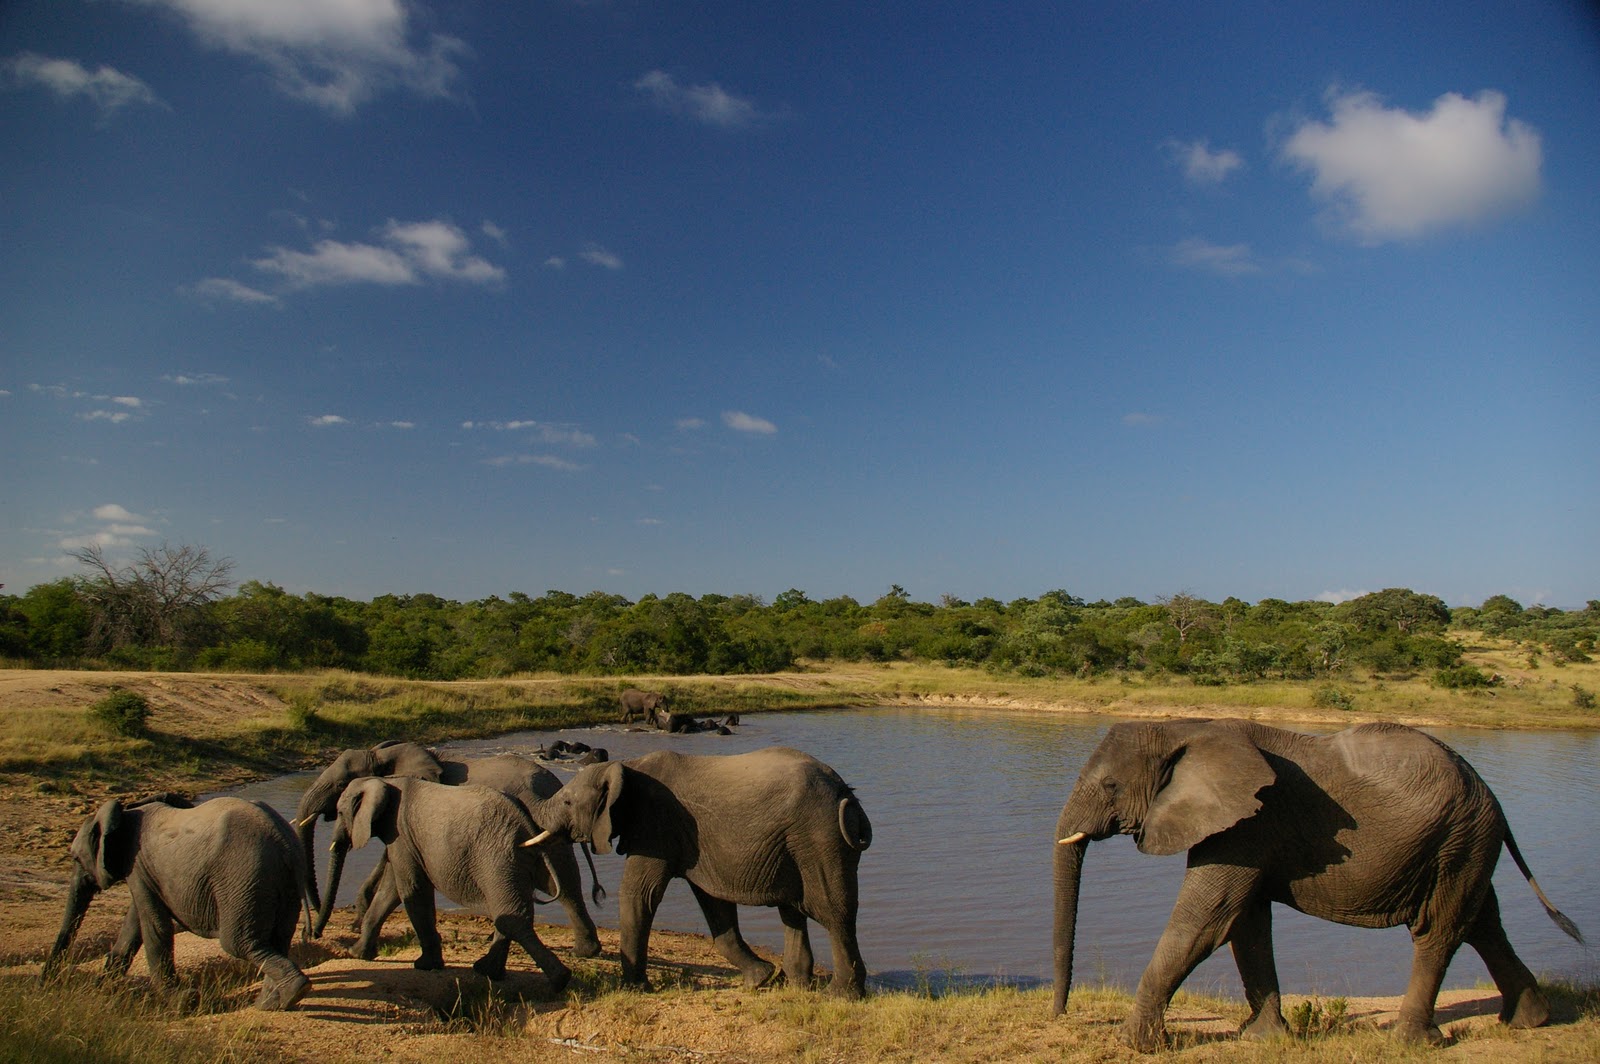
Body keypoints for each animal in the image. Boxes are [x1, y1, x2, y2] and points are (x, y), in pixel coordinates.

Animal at [45, 794, 310, 1011]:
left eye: (75, 858)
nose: (47, 983)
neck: (125, 813)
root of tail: (283, 839)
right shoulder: (145, 872)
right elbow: (135, 924)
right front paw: (104, 985)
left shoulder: (138, 865)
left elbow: (154, 926)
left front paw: (183, 1002)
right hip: (279, 881)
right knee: (278, 938)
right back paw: (272, 1003)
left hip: (243, 877)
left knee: (238, 943)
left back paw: (292, 993)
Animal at [293, 742, 601, 957]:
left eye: (340, 785)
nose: (312, 933)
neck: (384, 754)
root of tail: (556, 784)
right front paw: (357, 925)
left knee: (561, 882)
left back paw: (581, 952)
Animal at [332, 776, 571, 992]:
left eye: (339, 813)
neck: (385, 782)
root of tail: (528, 826)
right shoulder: (401, 840)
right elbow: (392, 891)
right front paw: (357, 954)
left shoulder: (400, 833)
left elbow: (412, 888)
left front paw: (426, 966)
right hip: (513, 862)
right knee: (509, 912)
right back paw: (491, 972)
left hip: (498, 859)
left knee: (512, 919)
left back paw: (559, 980)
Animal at [523, 746, 872, 997]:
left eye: (567, 803)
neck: (625, 766)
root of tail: (847, 793)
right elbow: (714, 904)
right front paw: (759, 980)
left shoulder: (656, 826)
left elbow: (640, 894)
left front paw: (635, 990)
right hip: (794, 843)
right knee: (792, 909)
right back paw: (795, 984)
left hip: (819, 837)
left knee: (832, 912)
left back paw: (840, 994)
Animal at [1052, 719, 1583, 1050]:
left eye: (1110, 787)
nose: (1061, 1016)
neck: (1185, 727)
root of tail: (1489, 793)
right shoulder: (1246, 828)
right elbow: (1246, 925)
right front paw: (1264, 1040)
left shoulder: (1247, 822)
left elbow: (1206, 919)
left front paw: (1135, 1045)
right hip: (1464, 844)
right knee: (1482, 923)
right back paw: (1531, 1021)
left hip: (1460, 837)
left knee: (1438, 930)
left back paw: (1409, 1042)